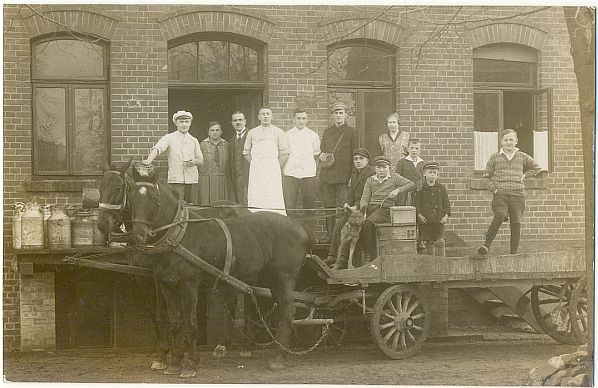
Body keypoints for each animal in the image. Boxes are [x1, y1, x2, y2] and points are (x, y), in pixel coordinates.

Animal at [125, 165, 304, 378]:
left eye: (153, 197)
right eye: (131, 196)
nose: (138, 235)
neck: (178, 236)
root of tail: (299, 228)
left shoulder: (189, 286)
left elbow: (190, 324)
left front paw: (190, 364)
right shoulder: (167, 285)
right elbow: (175, 323)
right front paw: (175, 362)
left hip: (283, 278)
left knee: (287, 311)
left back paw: (278, 357)